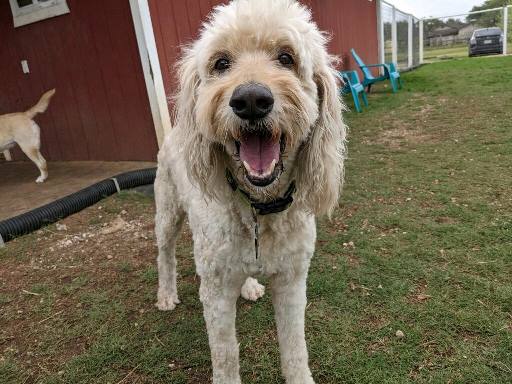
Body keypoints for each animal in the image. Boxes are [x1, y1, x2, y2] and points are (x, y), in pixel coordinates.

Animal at [155, 1, 348, 382]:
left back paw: (248, 286)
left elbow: (295, 348)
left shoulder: (292, 281)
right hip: (167, 212)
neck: (259, 207)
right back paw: (166, 294)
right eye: (221, 63)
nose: (251, 100)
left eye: (286, 58)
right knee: (164, 254)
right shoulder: (215, 291)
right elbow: (226, 354)